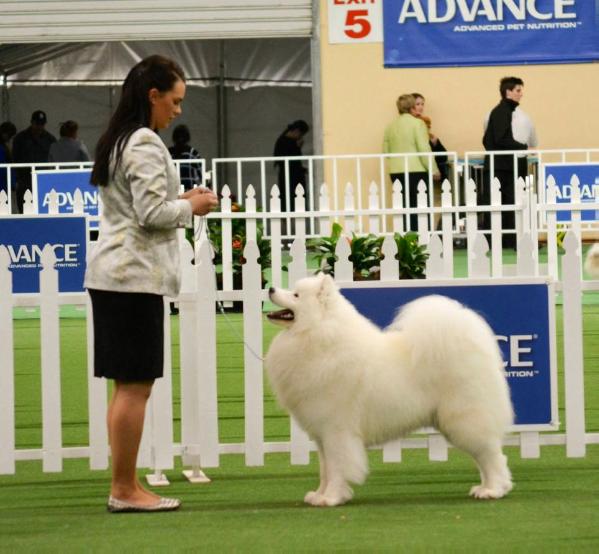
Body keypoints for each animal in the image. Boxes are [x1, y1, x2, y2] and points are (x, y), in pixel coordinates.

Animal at [264, 274, 512, 506]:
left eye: (296, 295)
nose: (271, 288)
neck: (318, 336)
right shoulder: (321, 435)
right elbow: (325, 470)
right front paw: (319, 495)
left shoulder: (336, 431)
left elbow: (336, 468)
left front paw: (332, 498)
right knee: (486, 457)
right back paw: (485, 487)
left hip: (464, 419)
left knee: (492, 456)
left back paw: (493, 490)